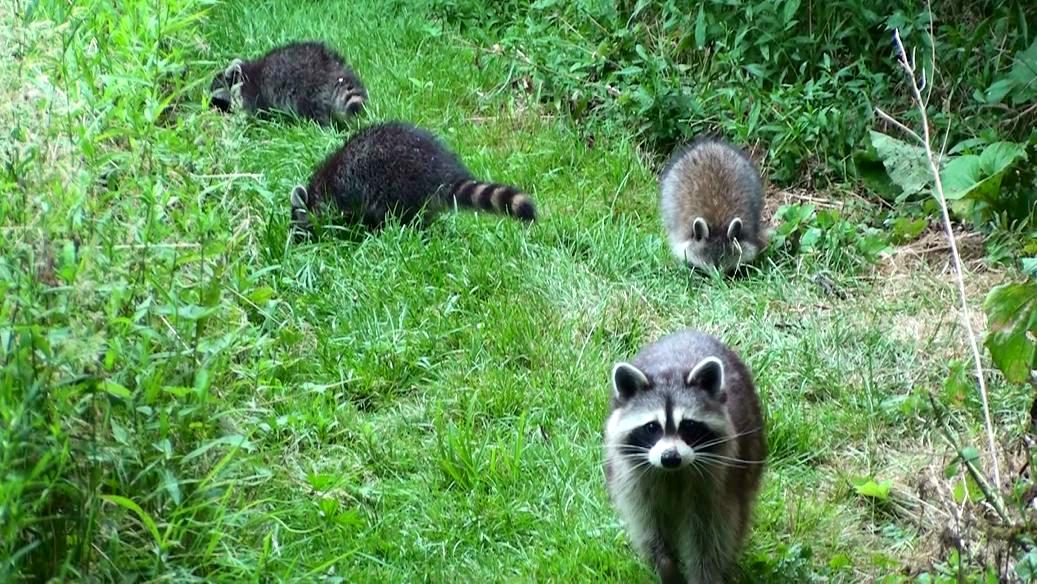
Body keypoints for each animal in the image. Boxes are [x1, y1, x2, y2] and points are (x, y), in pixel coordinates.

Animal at [209, 41, 366, 125]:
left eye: (217, 101)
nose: (210, 112)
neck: (244, 77)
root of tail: (330, 66)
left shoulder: (254, 94)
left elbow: (258, 114)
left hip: (309, 88)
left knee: (313, 111)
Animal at [290, 121, 536, 232]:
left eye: (296, 222)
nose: (294, 242)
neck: (317, 189)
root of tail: (441, 171)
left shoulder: (342, 194)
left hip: (397, 184)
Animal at [603, 330, 766, 584]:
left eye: (688, 425)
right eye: (652, 427)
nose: (670, 457)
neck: (673, 473)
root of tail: (689, 331)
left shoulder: (716, 487)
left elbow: (709, 541)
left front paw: (706, 576)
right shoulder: (635, 486)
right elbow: (651, 533)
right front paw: (666, 569)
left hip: (750, 452)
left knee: (738, 515)